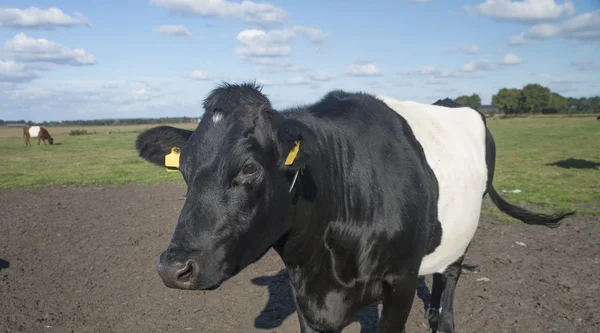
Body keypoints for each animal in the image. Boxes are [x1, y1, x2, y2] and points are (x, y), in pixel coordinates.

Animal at [135, 82, 572, 332]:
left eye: (248, 168)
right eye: (184, 169)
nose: (173, 268)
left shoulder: (399, 284)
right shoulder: (305, 295)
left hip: (464, 231)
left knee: (450, 277)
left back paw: (442, 320)